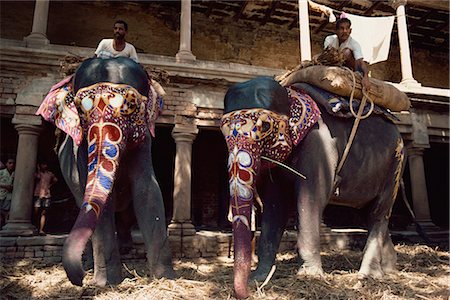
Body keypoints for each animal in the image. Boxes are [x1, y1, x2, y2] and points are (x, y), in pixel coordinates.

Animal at [36, 58, 174, 286]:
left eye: (131, 106)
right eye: (80, 111)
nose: (79, 280)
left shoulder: (145, 141)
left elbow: (148, 190)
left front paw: (165, 278)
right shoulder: (81, 151)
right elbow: (100, 202)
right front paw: (107, 283)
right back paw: (93, 265)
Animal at [220, 77, 406, 298]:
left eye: (264, 125)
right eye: (222, 131)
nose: (248, 291)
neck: (290, 95)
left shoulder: (319, 144)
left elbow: (311, 198)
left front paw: (309, 276)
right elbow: (275, 205)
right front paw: (260, 276)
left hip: (395, 163)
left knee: (378, 213)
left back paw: (368, 276)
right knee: (368, 214)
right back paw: (390, 270)